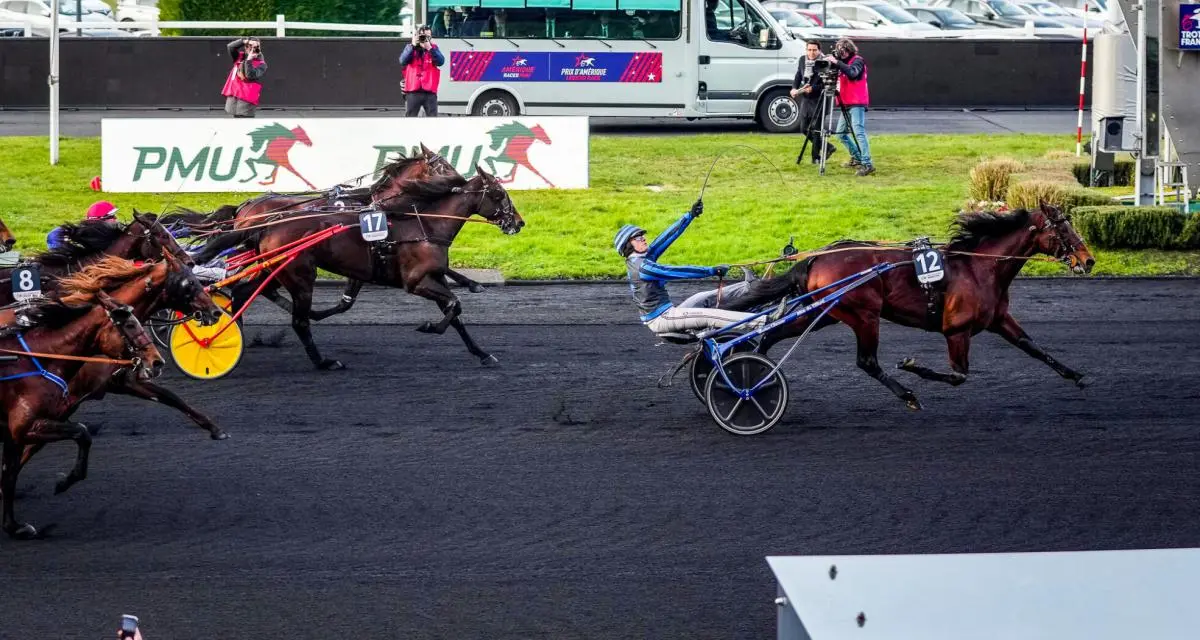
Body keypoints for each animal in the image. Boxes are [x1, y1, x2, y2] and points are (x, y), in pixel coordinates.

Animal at [1, 261, 169, 535]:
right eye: (129, 325)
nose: (157, 361)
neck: (35, 361)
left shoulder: (13, 433)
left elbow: (9, 475)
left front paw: (13, 526)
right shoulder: (25, 426)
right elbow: (82, 431)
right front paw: (65, 481)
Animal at [190, 166, 520, 369]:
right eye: (500, 194)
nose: (518, 222)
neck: (424, 225)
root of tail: (264, 221)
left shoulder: (430, 277)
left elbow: (456, 313)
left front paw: (482, 353)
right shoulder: (416, 281)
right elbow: (453, 306)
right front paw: (429, 326)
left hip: (274, 270)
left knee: (244, 291)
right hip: (298, 275)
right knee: (298, 321)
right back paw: (323, 362)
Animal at [720, 204, 1099, 408]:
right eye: (1064, 229)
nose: (1089, 260)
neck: (979, 267)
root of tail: (816, 257)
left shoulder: (999, 319)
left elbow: (1032, 347)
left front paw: (1076, 375)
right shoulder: (956, 329)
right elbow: (958, 375)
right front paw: (912, 365)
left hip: (823, 311)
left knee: (771, 335)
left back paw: (753, 374)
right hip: (863, 315)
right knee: (867, 361)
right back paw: (907, 394)